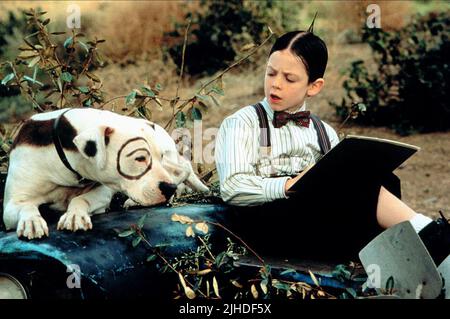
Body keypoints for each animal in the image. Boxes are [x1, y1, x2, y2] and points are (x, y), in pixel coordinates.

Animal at [3, 108, 209, 240]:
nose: (169, 188)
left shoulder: (102, 192)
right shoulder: (11, 205)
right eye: (140, 158)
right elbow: (25, 206)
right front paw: (31, 220)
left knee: (183, 168)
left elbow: (80, 199)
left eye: (157, 156)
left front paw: (75, 214)